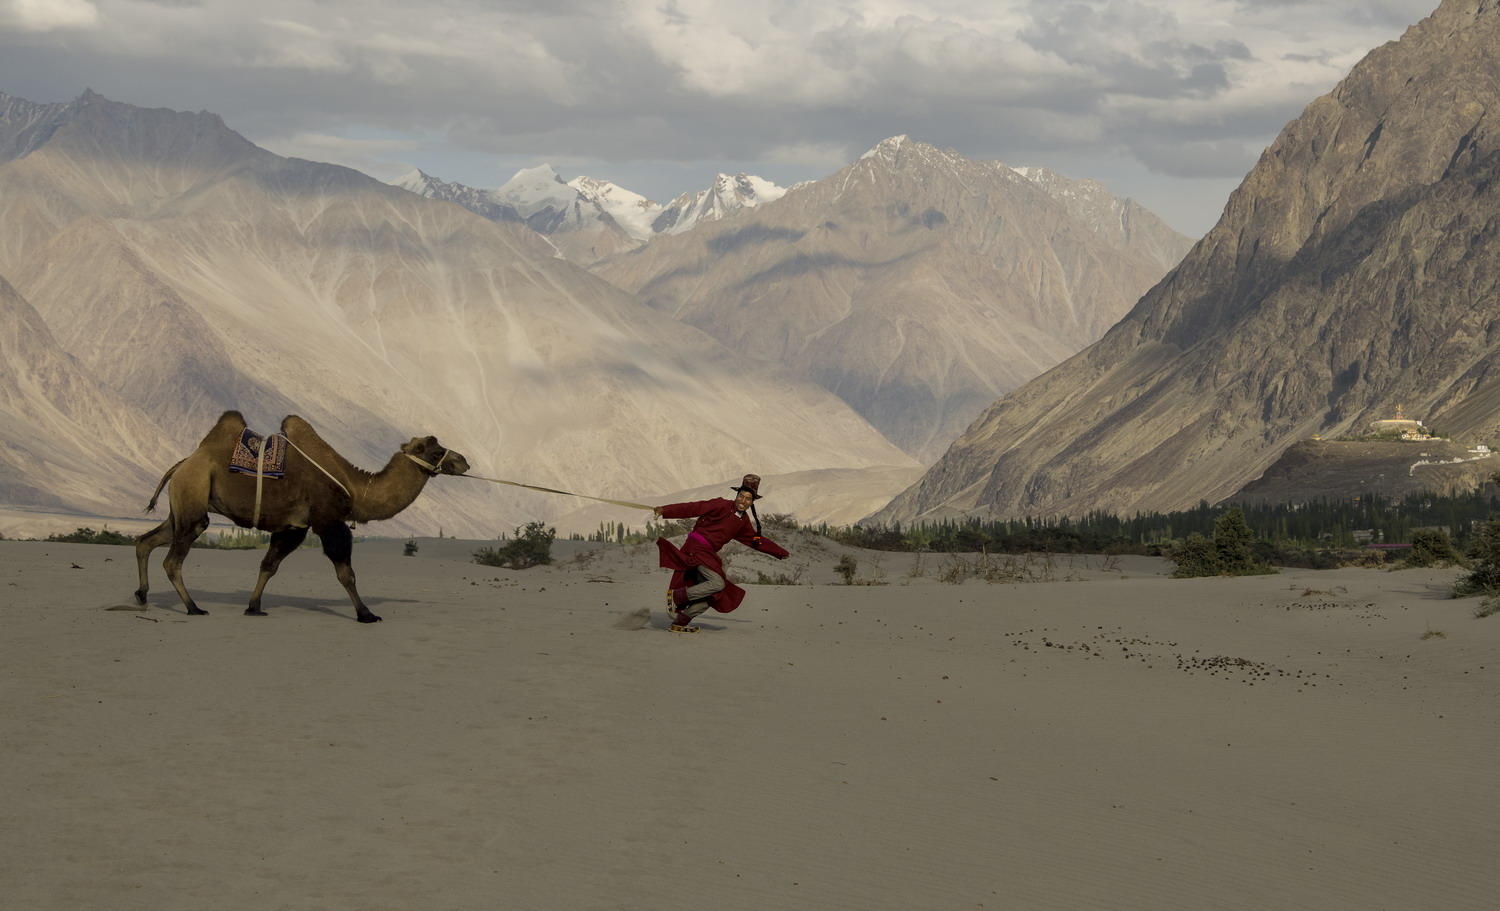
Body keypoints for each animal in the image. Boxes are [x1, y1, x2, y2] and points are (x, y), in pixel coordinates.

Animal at [140, 411, 471, 621]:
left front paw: (254, 606)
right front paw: (366, 614)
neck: (356, 487)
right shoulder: (327, 520)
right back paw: (193, 607)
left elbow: (269, 565)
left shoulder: (293, 526)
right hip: (194, 498)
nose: (464, 460)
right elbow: (346, 573)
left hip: (182, 507)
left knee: (146, 541)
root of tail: (182, 464)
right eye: (436, 450)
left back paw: (142, 595)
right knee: (172, 560)